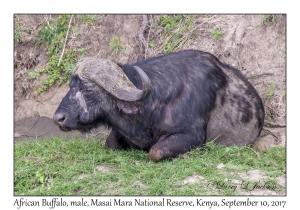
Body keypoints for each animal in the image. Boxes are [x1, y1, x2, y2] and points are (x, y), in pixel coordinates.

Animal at [52, 50, 264, 162]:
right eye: (71, 86)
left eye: (87, 89)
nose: (58, 118)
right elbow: (110, 142)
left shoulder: (191, 136)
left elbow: (155, 152)